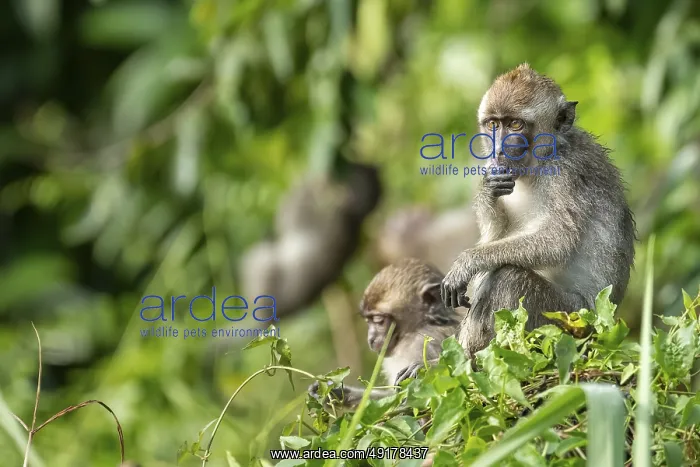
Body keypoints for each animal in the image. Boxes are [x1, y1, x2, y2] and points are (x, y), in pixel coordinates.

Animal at [309, 258, 464, 407]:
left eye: (378, 320)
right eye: (368, 320)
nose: (371, 339)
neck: (414, 329)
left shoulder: (422, 345)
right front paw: (336, 393)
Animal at [441, 63, 636, 358]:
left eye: (516, 124)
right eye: (494, 124)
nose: (498, 149)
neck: (540, 161)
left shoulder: (566, 172)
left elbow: (558, 240)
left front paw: (467, 263)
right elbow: (493, 236)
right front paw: (487, 190)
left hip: (569, 321)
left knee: (509, 276)